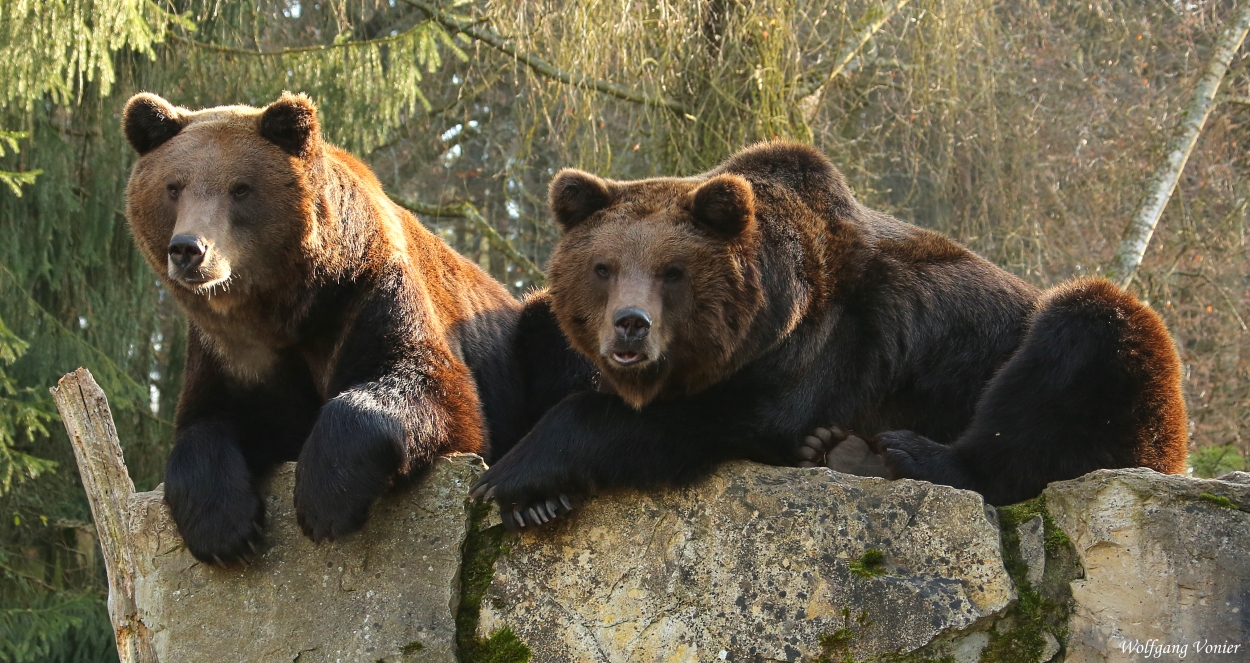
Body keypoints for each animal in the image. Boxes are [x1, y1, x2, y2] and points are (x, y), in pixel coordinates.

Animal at [121, 90, 590, 560]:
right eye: (173, 187)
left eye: (240, 188)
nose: (188, 249)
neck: (291, 306)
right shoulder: (230, 351)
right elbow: (206, 423)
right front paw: (226, 531)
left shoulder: (369, 297)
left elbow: (431, 390)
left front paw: (326, 498)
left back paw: (540, 499)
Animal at [472, 140, 1185, 525]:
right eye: (604, 267)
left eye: (673, 272)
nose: (631, 327)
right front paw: (538, 501)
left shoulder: (830, 343)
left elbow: (731, 415)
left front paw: (514, 476)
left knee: (1089, 332)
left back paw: (889, 453)